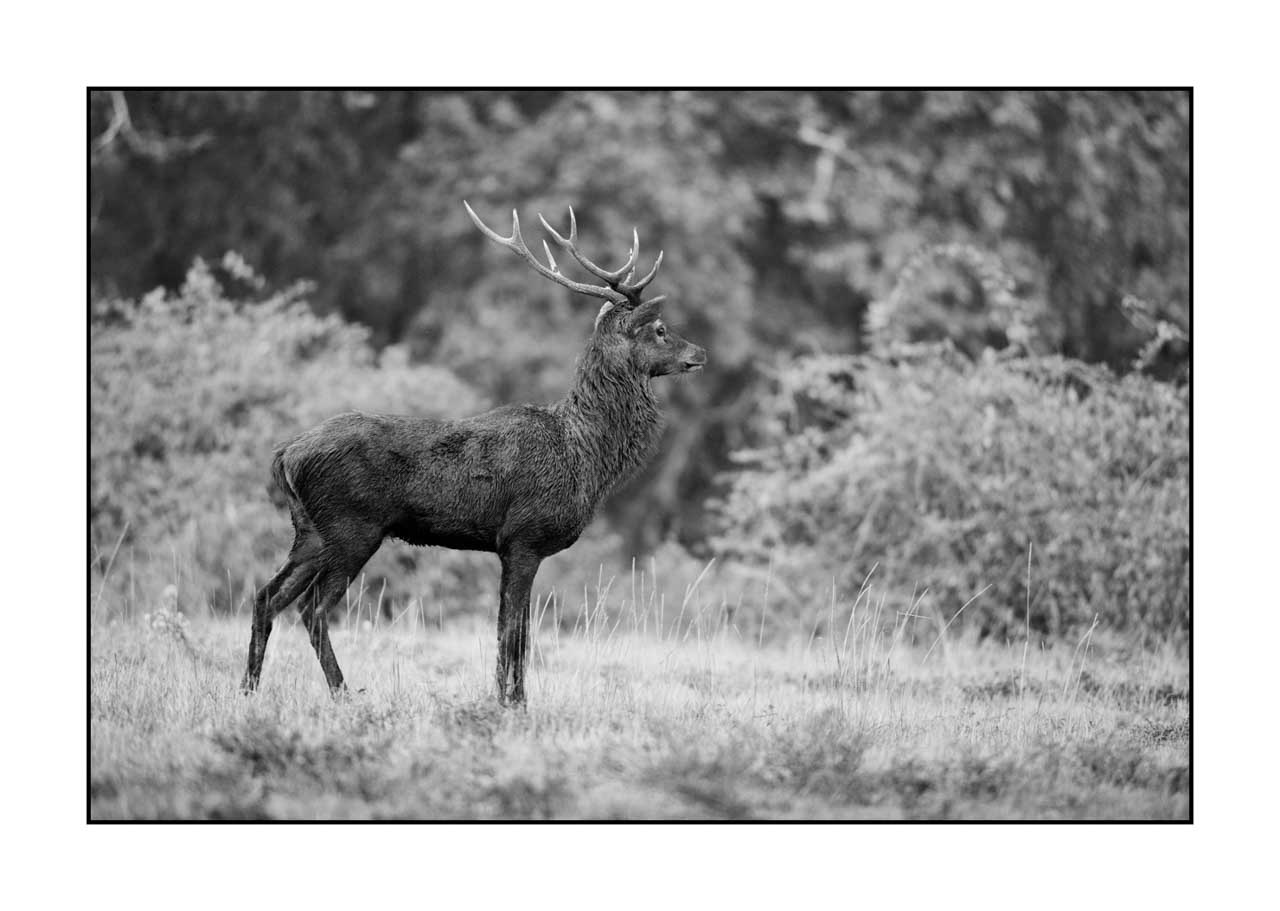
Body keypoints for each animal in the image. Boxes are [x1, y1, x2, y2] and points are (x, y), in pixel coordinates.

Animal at [241, 201, 706, 705]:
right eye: (660, 329)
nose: (700, 352)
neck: (585, 456)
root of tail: (286, 455)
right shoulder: (524, 537)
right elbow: (514, 633)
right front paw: (513, 704)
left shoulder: (511, 546)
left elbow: (514, 630)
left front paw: (506, 699)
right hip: (351, 526)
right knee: (312, 609)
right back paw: (345, 694)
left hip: (309, 530)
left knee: (266, 597)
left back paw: (247, 691)